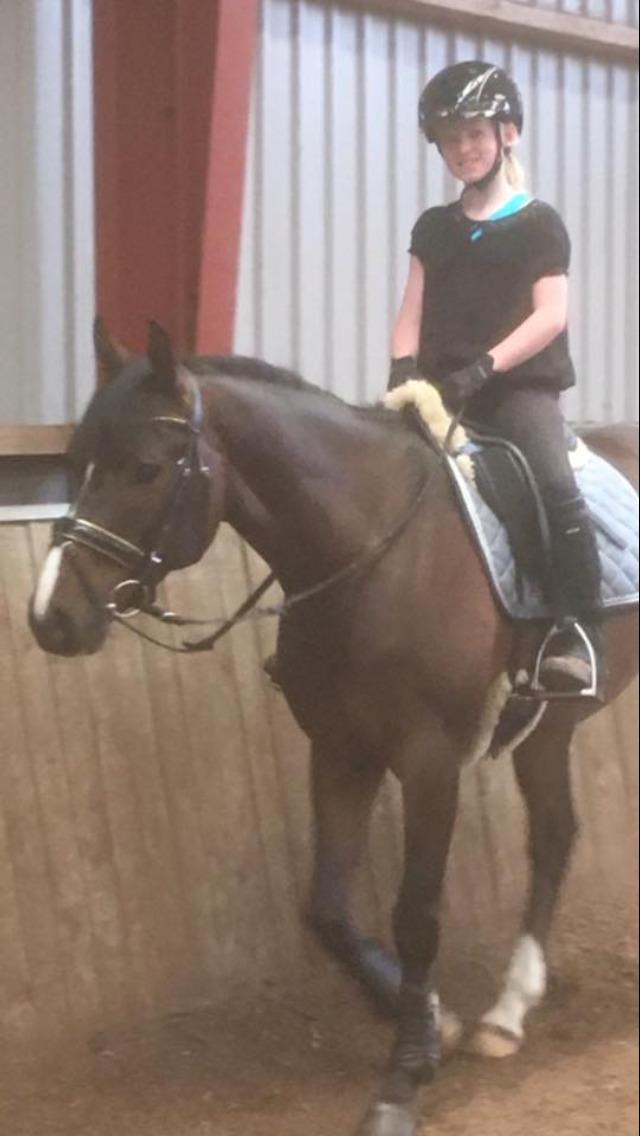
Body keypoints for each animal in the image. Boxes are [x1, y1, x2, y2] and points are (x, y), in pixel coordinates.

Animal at [29, 320, 638, 1136]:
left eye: (147, 469)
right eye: (73, 463)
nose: (50, 617)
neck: (371, 548)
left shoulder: (429, 759)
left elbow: (416, 914)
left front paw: (403, 1078)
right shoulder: (341, 750)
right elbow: (325, 909)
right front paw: (434, 1019)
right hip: (545, 730)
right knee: (554, 835)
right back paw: (506, 1015)